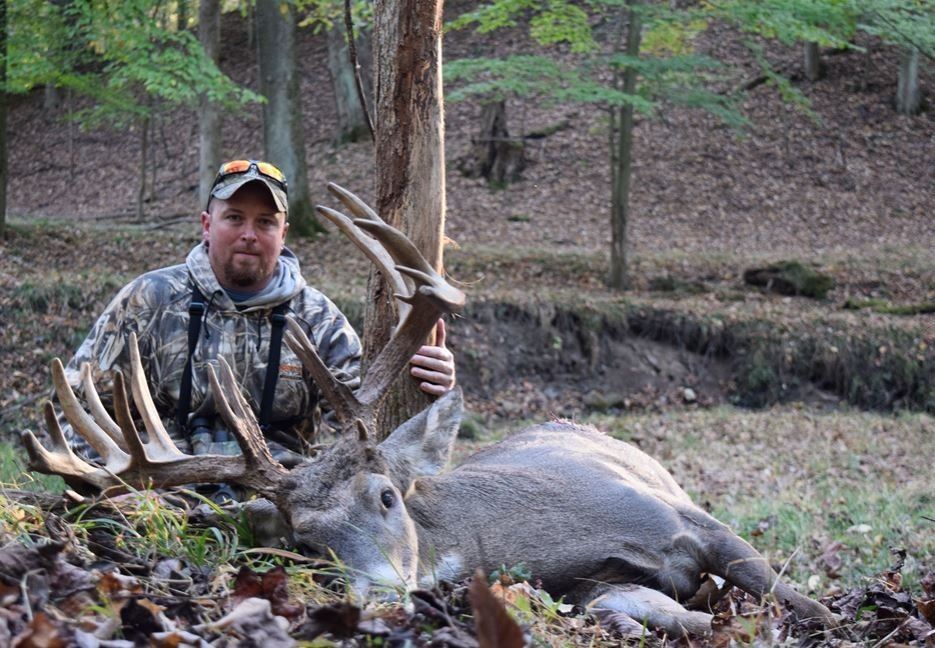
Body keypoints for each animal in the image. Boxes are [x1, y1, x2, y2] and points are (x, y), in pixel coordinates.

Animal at [22, 184, 837, 638]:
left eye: (387, 496)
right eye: (305, 542)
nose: (382, 598)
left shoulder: (680, 516)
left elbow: (799, 599)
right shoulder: (581, 585)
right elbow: (636, 608)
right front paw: (700, 615)